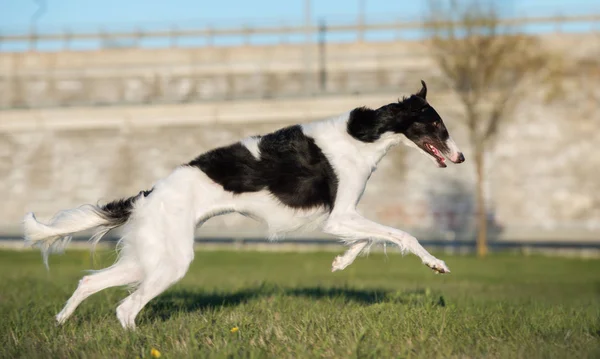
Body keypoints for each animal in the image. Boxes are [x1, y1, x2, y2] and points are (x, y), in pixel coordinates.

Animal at [23, 81, 464, 330]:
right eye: (437, 125)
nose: (460, 158)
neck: (365, 133)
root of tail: (147, 195)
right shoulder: (339, 216)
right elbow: (399, 234)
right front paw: (436, 263)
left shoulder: (340, 219)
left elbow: (369, 239)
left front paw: (341, 263)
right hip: (171, 262)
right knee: (126, 309)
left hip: (149, 258)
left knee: (89, 282)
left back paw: (61, 321)